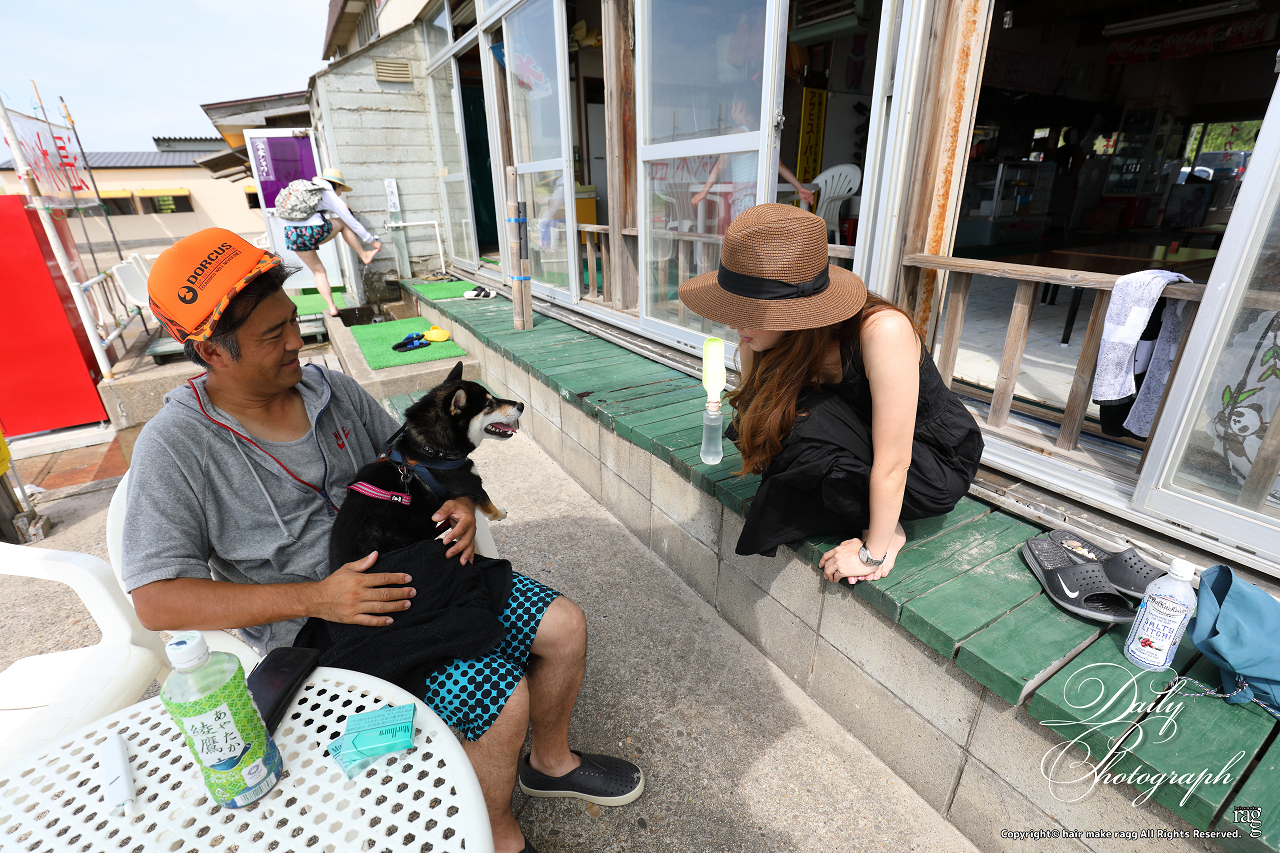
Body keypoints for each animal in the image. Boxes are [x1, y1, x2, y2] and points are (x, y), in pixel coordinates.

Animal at [329, 361, 523, 571]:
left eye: (492, 398)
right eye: (489, 404)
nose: (521, 405)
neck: (430, 450)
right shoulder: (472, 485)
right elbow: (489, 506)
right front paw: (500, 513)